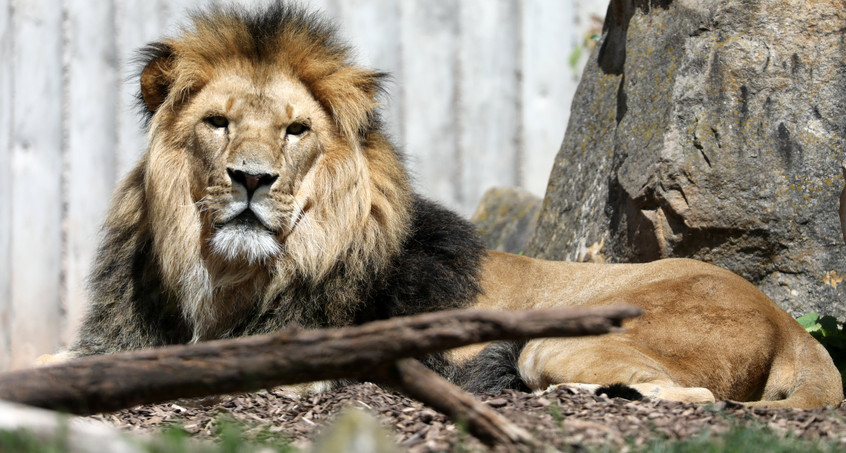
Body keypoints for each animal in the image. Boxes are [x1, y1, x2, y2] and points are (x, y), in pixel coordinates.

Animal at [38, 0, 840, 410]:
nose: (250, 179)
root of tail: (791, 330)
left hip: (561, 339)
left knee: (690, 396)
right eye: (217, 123)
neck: (230, 279)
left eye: (296, 131)